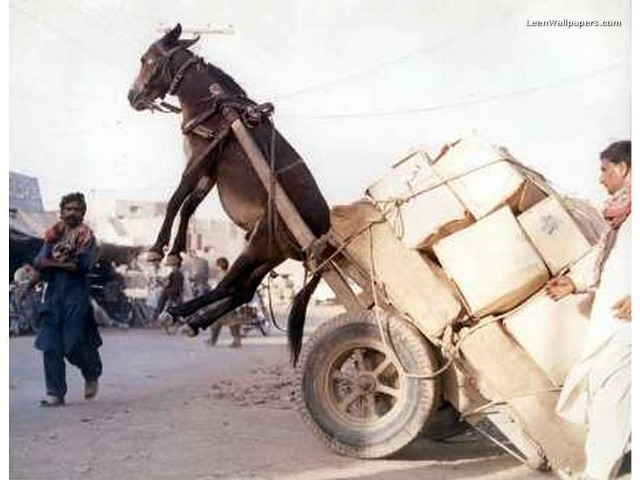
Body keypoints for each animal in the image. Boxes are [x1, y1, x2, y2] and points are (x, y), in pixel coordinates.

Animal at [127, 24, 329, 363]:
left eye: (146, 59)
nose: (132, 97)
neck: (214, 106)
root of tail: (324, 236)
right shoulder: (209, 172)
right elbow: (188, 206)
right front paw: (175, 253)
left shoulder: (199, 159)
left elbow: (175, 199)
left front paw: (157, 250)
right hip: (268, 252)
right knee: (242, 291)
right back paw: (194, 320)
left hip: (258, 246)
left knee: (227, 286)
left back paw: (181, 314)